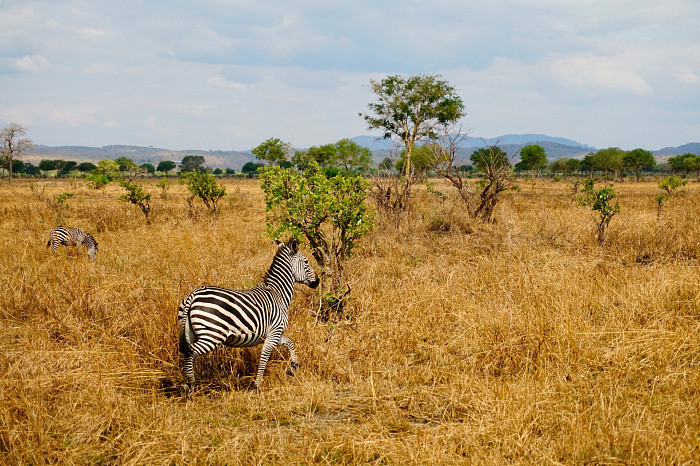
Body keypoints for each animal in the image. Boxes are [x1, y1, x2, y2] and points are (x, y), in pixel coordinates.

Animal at [180, 238, 322, 392]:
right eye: (306, 261)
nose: (318, 281)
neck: (278, 293)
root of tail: (193, 295)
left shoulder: (273, 334)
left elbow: (290, 343)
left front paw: (293, 367)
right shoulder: (275, 331)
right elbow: (265, 356)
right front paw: (257, 384)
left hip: (191, 332)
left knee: (186, 354)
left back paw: (187, 385)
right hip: (212, 334)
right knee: (190, 353)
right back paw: (190, 385)